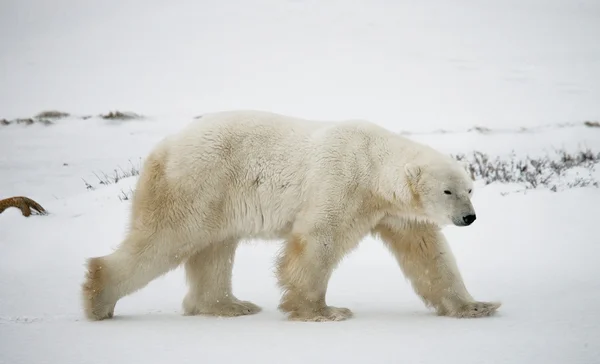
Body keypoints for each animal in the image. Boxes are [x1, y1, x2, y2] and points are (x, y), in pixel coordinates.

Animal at [81, 110, 502, 322]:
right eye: (447, 191)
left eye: (469, 189)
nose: (468, 218)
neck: (373, 164)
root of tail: (161, 149)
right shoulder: (342, 181)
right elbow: (319, 240)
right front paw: (323, 310)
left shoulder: (395, 212)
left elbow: (428, 255)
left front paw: (476, 306)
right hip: (198, 182)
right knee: (165, 240)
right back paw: (99, 301)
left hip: (217, 196)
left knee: (214, 249)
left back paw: (230, 305)